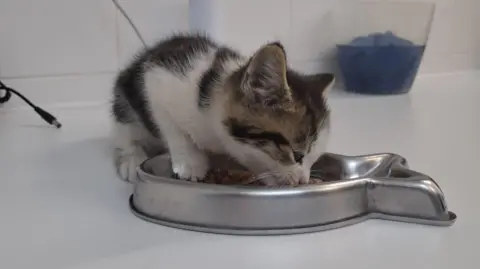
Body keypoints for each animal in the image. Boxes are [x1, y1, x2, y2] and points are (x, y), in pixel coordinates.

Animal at [111, 33, 334, 184]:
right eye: (297, 155)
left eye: (314, 159)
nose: (303, 180)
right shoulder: (155, 77)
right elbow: (169, 124)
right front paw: (190, 162)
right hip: (125, 92)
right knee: (126, 127)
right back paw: (132, 157)